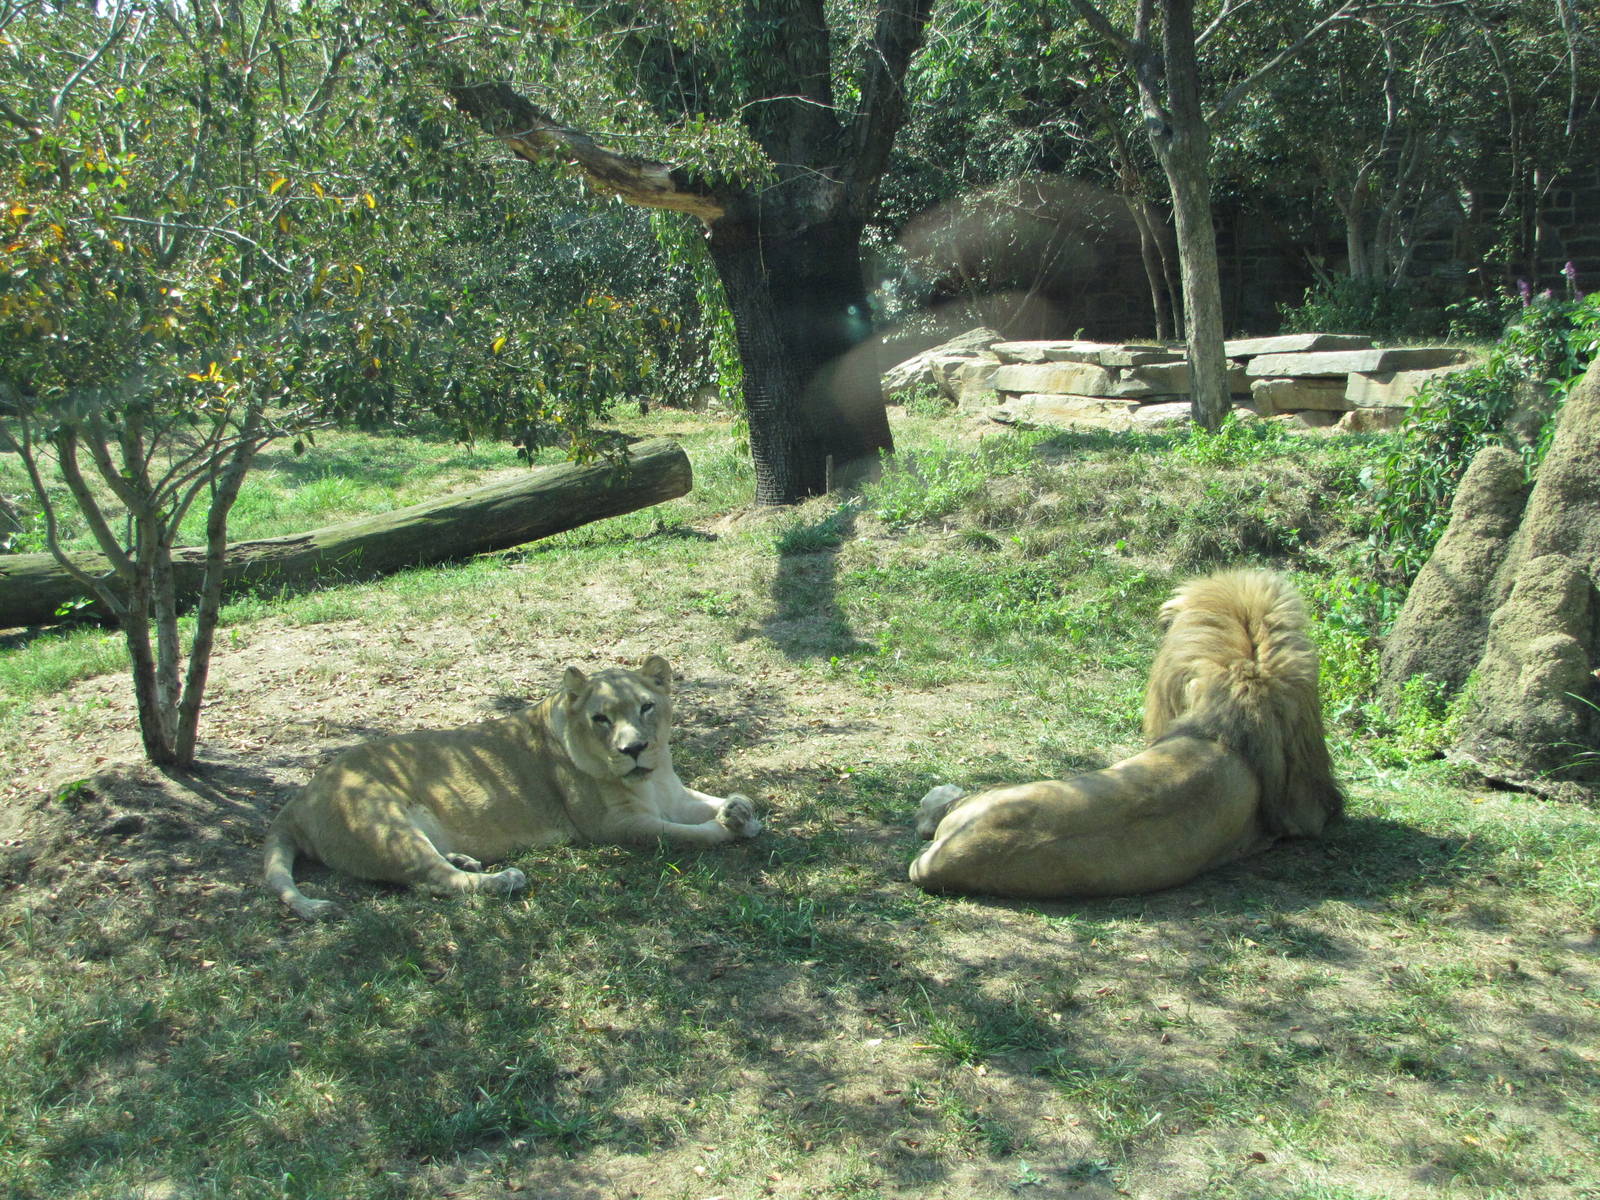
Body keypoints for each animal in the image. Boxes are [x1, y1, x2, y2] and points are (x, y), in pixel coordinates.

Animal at [264, 655, 761, 919]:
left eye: (646, 707)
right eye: (601, 718)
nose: (634, 748)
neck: (651, 776)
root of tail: (298, 799)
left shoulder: (673, 793)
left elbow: (713, 800)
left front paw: (740, 810)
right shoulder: (616, 826)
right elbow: (682, 834)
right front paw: (727, 828)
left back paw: (466, 858)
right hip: (385, 824)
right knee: (434, 881)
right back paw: (503, 879)